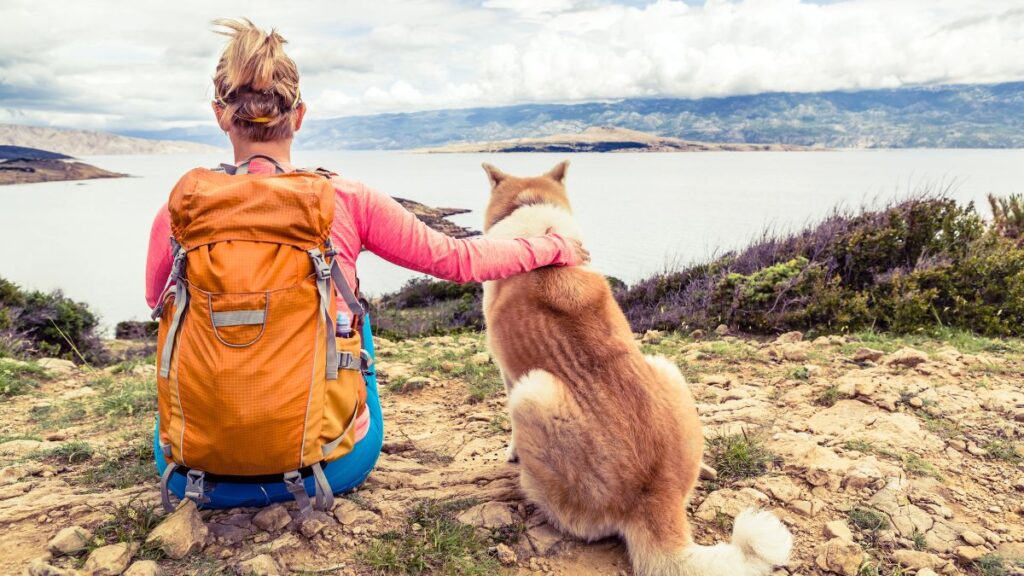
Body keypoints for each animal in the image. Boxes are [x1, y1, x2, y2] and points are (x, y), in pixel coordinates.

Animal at [479, 159, 790, 573]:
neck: (538, 223)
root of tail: (653, 499)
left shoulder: (509, 376)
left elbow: (510, 430)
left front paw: (511, 452)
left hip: (533, 391)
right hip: (666, 367)